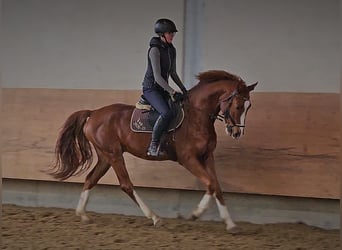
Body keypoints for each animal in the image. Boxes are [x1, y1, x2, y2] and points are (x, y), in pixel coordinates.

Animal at [48, 70, 256, 232]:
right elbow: (211, 184)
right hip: (114, 155)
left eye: (249, 107)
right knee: (126, 185)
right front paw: (196, 214)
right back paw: (155, 217)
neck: (197, 116)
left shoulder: (207, 157)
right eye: (238, 105)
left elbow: (217, 186)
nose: (237, 132)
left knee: (91, 179)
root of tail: (93, 113)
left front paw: (230, 224)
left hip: (105, 156)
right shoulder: (188, 158)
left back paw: (82, 214)